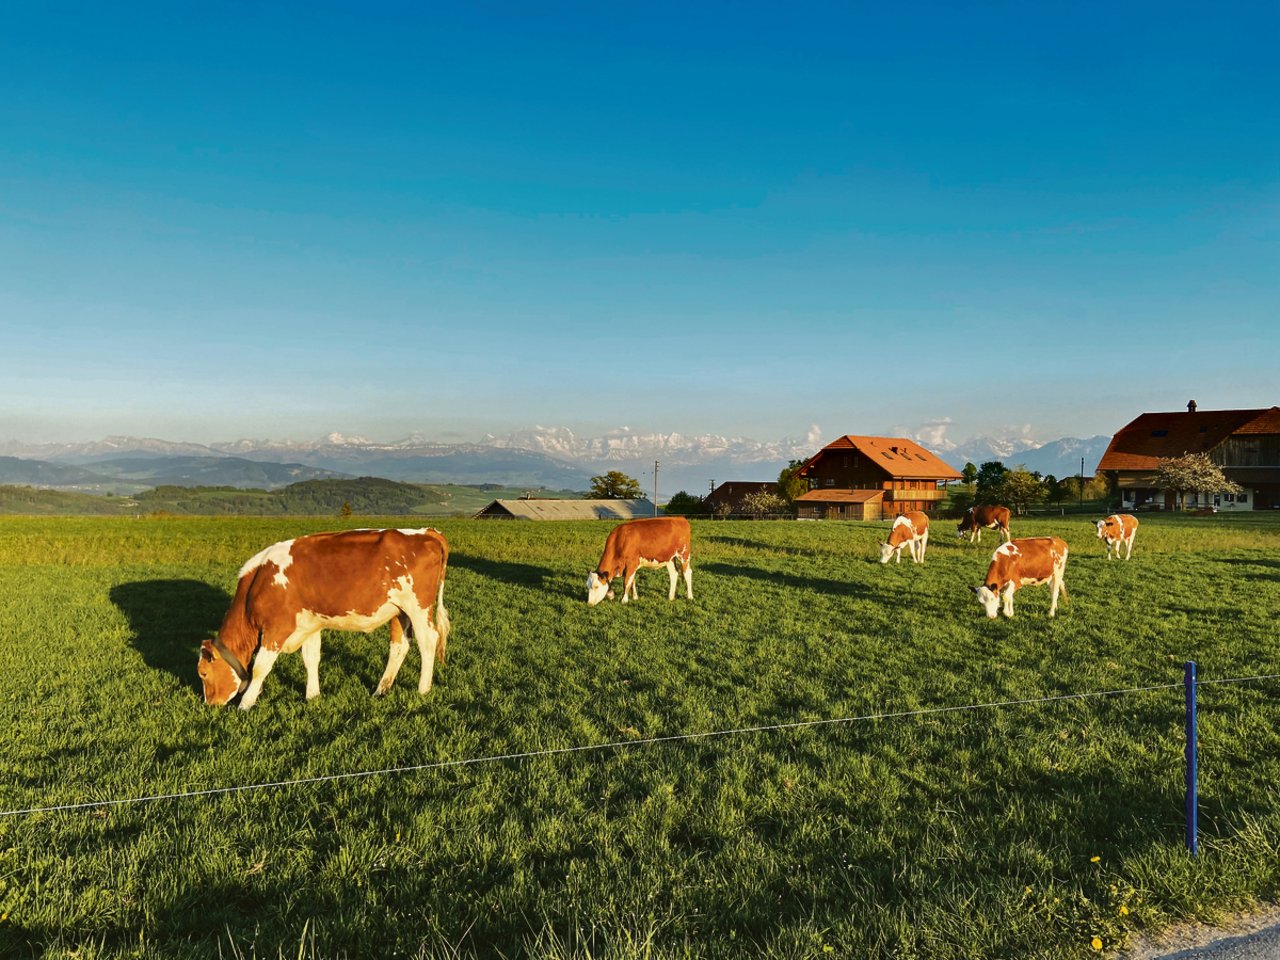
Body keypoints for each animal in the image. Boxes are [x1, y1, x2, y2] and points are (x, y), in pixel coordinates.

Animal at [197, 529, 453, 711]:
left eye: (203, 673)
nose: (210, 704)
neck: (258, 581)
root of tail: (427, 532)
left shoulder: (277, 628)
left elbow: (261, 667)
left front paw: (245, 705)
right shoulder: (310, 625)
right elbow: (311, 659)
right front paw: (313, 696)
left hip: (418, 608)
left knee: (428, 641)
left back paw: (423, 689)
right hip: (399, 612)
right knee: (399, 647)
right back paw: (381, 690)